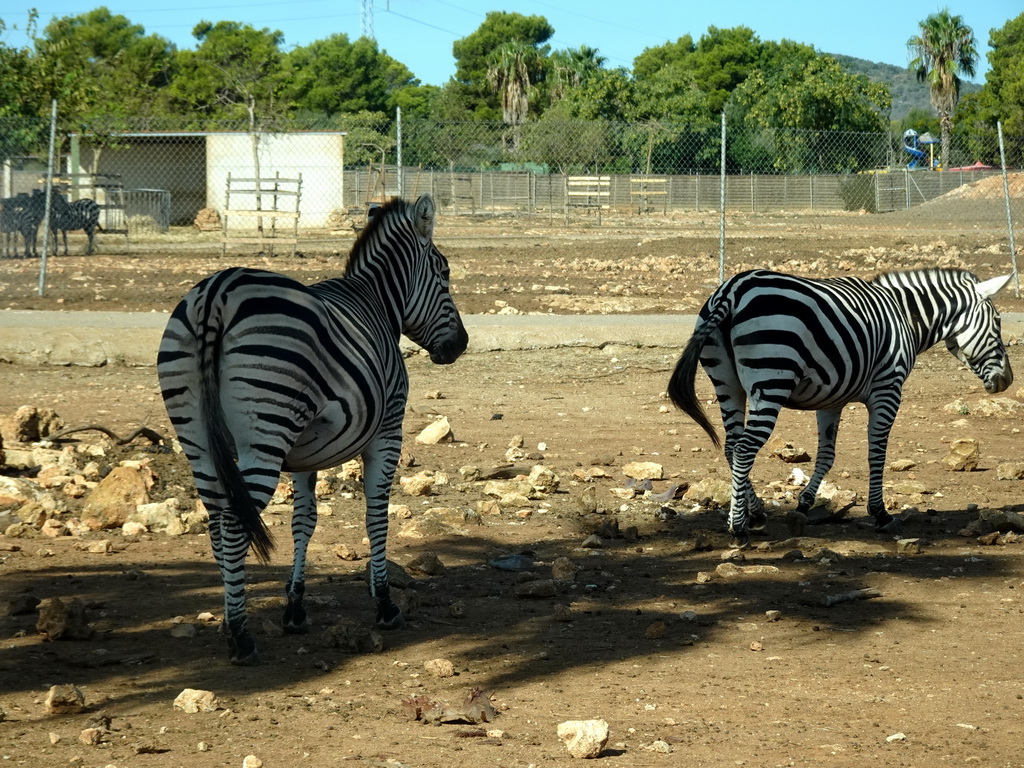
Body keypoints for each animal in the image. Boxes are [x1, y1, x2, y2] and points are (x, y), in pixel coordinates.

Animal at [157, 193, 468, 667]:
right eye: (445, 272)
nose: (460, 345)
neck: (377, 302)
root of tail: (216, 294)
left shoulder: (305, 452)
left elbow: (304, 521)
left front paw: (295, 606)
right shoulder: (388, 432)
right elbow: (376, 515)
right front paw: (385, 604)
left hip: (198, 439)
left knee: (215, 523)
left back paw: (229, 621)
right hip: (265, 435)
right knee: (233, 524)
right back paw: (241, 637)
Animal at [667, 268, 1011, 548]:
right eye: (997, 322)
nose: (1007, 380)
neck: (904, 317)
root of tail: (732, 290)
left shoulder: (831, 399)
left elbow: (827, 454)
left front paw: (805, 502)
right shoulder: (888, 390)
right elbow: (877, 453)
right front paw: (880, 514)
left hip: (727, 383)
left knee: (731, 446)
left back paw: (756, 513)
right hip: (771, 379)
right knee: (744, 449)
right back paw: (739, 529)